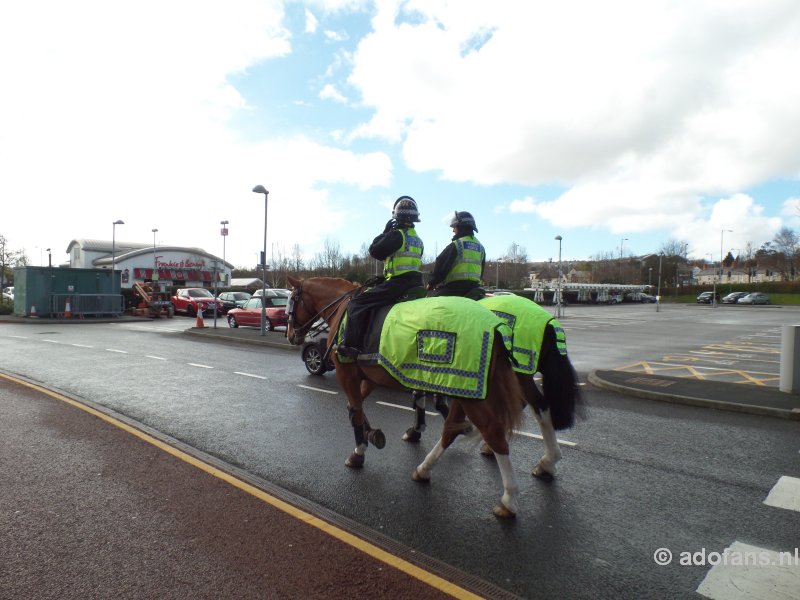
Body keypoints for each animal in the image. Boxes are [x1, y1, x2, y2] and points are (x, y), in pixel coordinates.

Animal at [284, 276, 528, 516]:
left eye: (290, 303)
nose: (290, 336)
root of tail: (493, 326)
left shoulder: (347, 373)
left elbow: (355, 410)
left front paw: (359, 452)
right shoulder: (370, 377)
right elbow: (356, 406)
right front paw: (374, 434)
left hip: (468, 392)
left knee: (492, 432)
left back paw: (509, 498)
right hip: (463, 388)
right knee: (451, 429)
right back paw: (424, 468)